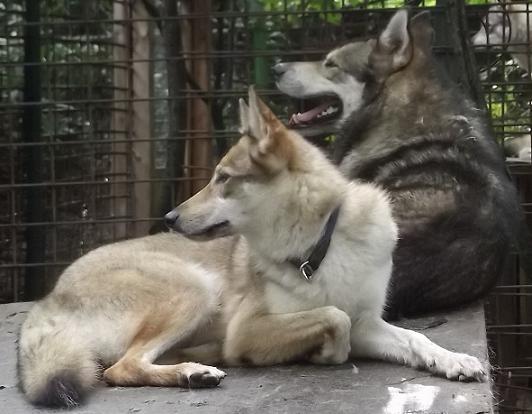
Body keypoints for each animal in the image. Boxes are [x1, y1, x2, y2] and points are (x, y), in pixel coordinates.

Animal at [19, 86, 486, 408]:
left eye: (223, 179)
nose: (169, 217)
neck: (320, 249)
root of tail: (49, 297)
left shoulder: (369, 322)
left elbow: (415, 338)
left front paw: (453, 360)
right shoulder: (248, 329)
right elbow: (334, 319)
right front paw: (321, 354)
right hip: (194, 289)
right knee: (122, 369)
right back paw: (195, 372)